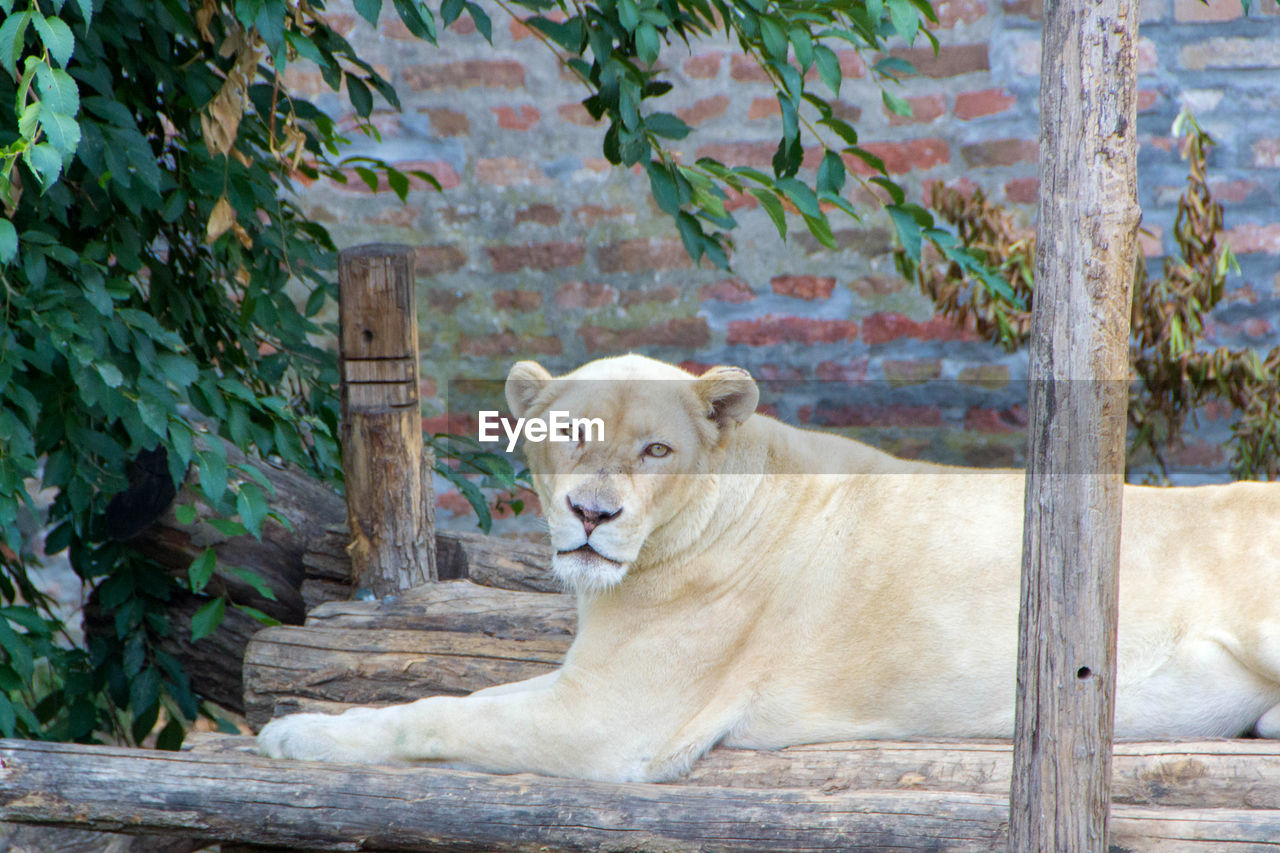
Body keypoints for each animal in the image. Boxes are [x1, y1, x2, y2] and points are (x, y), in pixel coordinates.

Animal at [257, 350, 1280, 778]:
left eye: (656, 451)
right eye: (570, 434)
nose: (592, 514)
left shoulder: (613, 722)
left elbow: (440, 711)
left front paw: (297, 735)